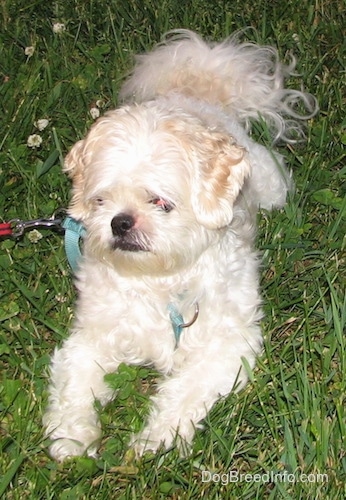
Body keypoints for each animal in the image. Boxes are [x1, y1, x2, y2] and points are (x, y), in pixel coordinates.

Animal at [43, 30, 316, 460]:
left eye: (160, 202)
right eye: (101, 200)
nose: (120, 222)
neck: (160, 281)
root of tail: (192, 94)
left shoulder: (227, 348)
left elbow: (183, 393)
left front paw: (155, 440)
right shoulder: (89, 340)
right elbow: (75, 388)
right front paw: (72, 437)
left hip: (274, 187)